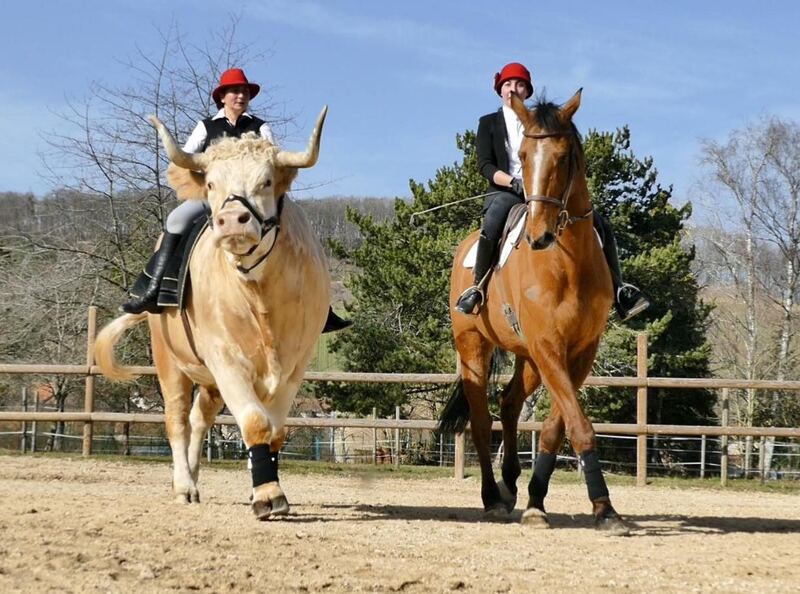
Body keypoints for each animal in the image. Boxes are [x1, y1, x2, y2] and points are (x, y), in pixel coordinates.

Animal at [441, 90, 629, 534]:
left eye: (564, 157)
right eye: (523, 156)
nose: (539, 236)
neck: (568, 261)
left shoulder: (579, 351)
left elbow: (556, 427)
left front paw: (540, 500)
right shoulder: (548, 346)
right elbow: (578, 426)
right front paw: (603, 506)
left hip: (527, 357)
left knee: (510, 403)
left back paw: (510, 484)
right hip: (473, 346)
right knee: (481, 421)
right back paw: (492, 497)